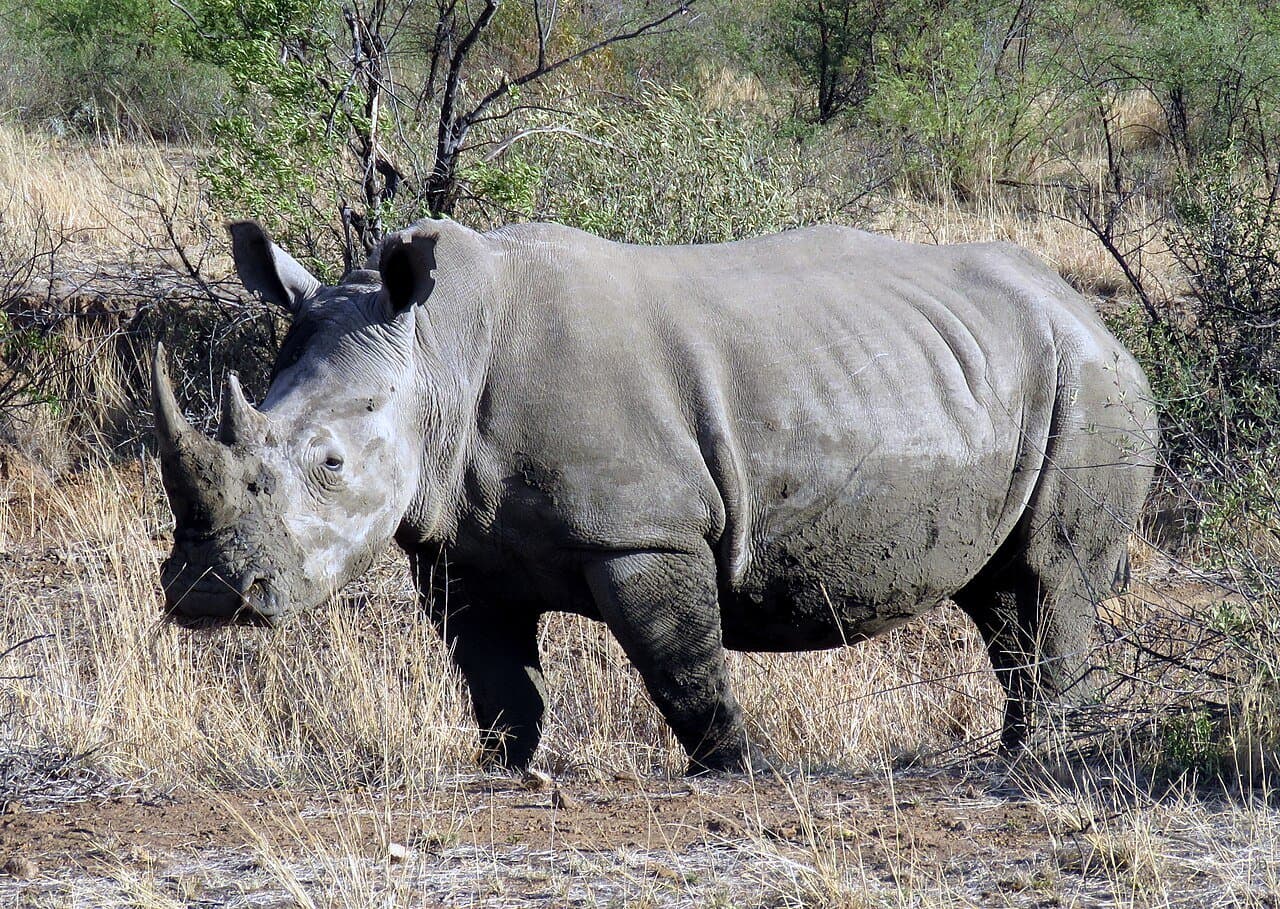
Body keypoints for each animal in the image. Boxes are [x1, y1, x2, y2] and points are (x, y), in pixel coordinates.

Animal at [155, 218, 1157, 773]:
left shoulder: (643, 531)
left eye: (329, 463)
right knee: (999, 596)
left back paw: (1033, 765)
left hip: (1091, 382)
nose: (207, 594)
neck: (435, 350)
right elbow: (494, 677)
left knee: (1052, 576)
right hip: (1004, 370)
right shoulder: (455, 544)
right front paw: (504, 767)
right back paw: (1022, 752)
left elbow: (682, 666)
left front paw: (739, 770)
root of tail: (1092, 312)